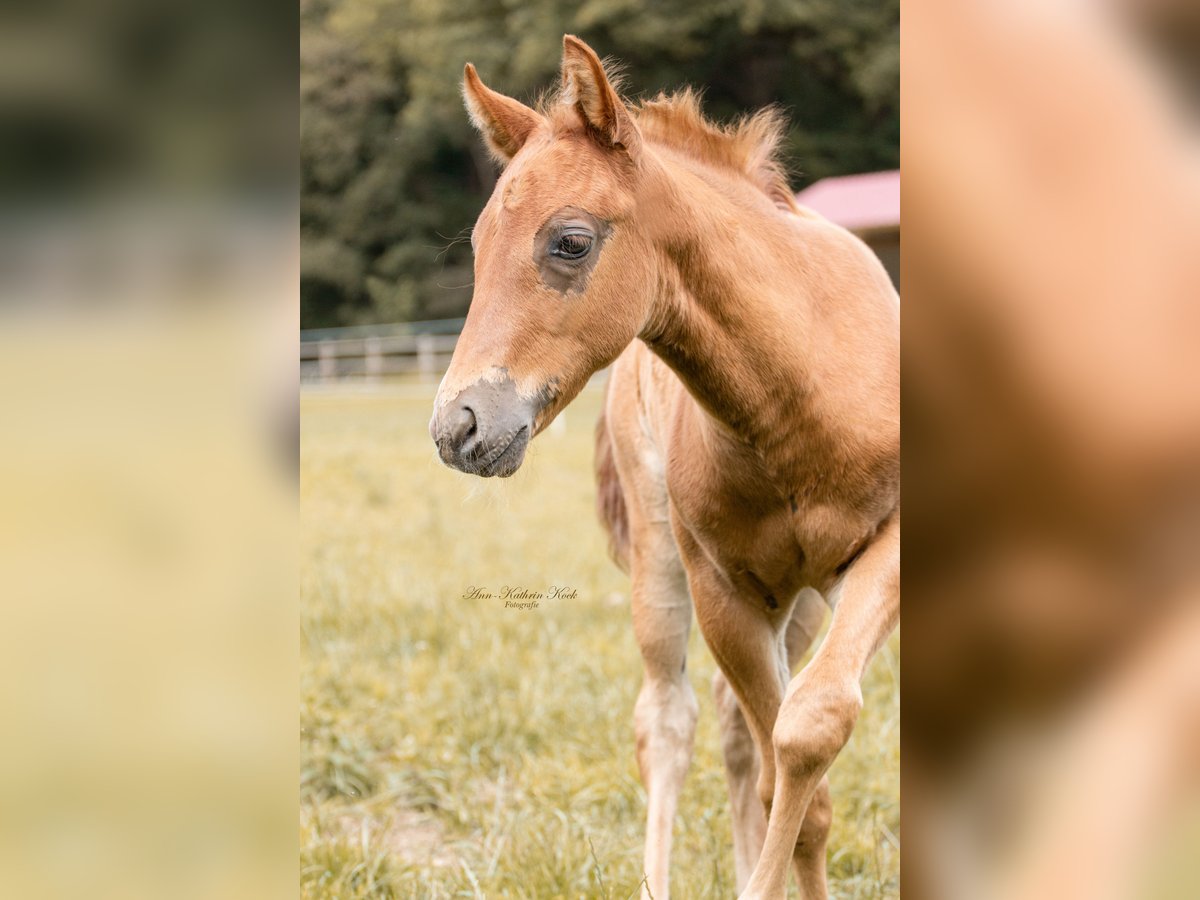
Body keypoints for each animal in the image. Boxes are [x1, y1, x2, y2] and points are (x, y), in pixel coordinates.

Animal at [429, 35, 899, 900]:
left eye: (570, 241)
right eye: (477, 247)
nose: (457, 427)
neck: (806, 396)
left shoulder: (886, 553)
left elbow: (810, 731)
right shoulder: (722, 590)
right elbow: (791, 781)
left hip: (802, 601)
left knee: (737, 729)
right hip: (662, 558)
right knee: (669, 721)